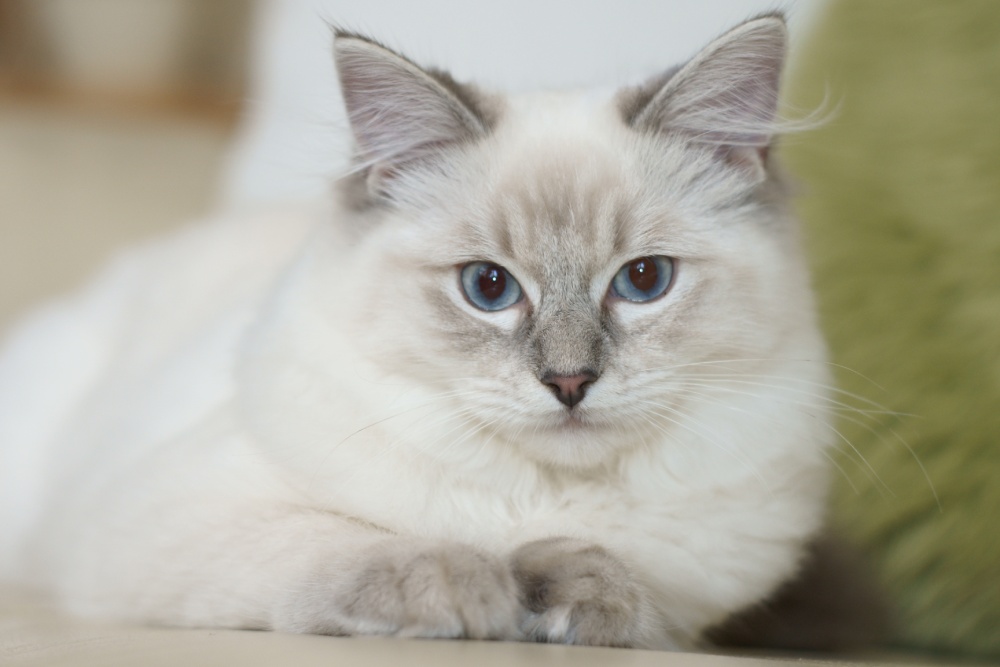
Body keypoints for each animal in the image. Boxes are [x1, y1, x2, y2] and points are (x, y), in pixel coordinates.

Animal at [0, 14, 836, 652]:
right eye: (488, 288)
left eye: (644, 280)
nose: (569, 381)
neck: (539, 497)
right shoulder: (175, 514)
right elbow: (366, 542)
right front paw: (477, 592)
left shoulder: (687, 609)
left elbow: (610, 580)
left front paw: (565, 599)